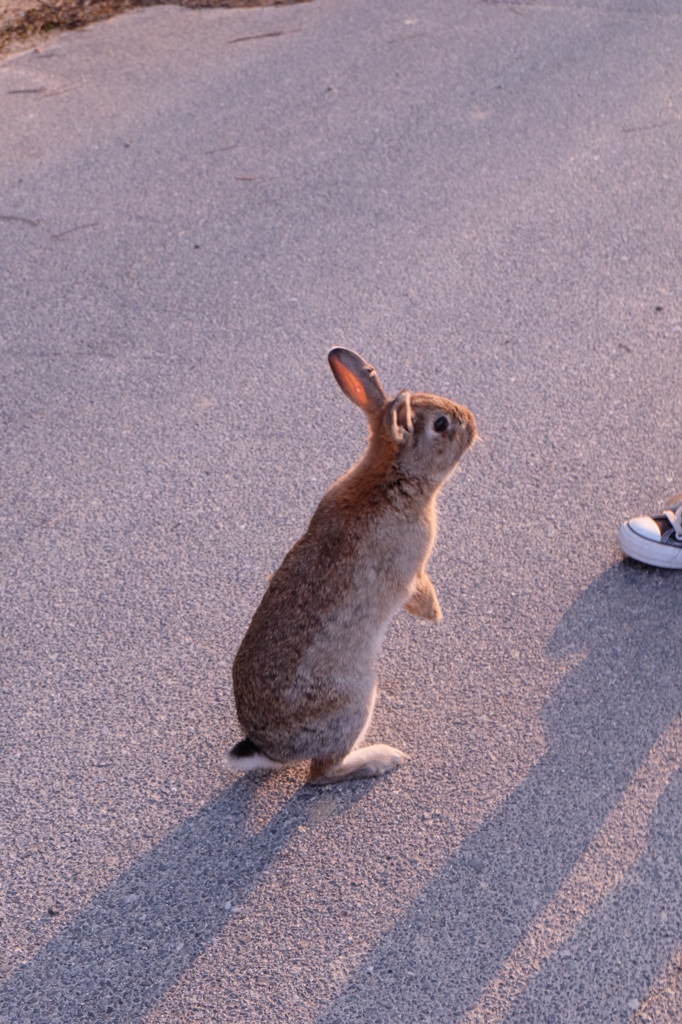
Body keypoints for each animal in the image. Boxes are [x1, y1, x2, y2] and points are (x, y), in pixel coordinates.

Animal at [225, 348, 475, 786]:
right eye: (441, 425)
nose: (473, 422)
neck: (392, 477)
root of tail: (267, 748)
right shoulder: (411, 565)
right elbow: (418, 589)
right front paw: (435, 613)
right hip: (355, 701)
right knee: (321, 773)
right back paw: (381, 758)